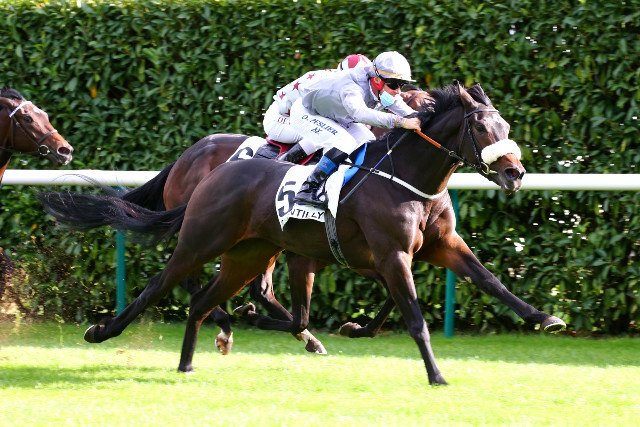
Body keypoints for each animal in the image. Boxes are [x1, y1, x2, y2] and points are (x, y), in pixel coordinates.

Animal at [39, 83, 566, 385]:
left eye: (506, 124)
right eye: (484, 128)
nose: (515, 172)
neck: (403, 175)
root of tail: (201, 164)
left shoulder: (437, 247)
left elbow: (488, 281)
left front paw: (545, 317)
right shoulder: (389, 254)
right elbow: (414, 315)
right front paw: (435, 374)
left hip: (254, 252)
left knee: (221, 297)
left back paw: (215, 345)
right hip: (206, 241)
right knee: (164, 285)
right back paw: (107, 330)